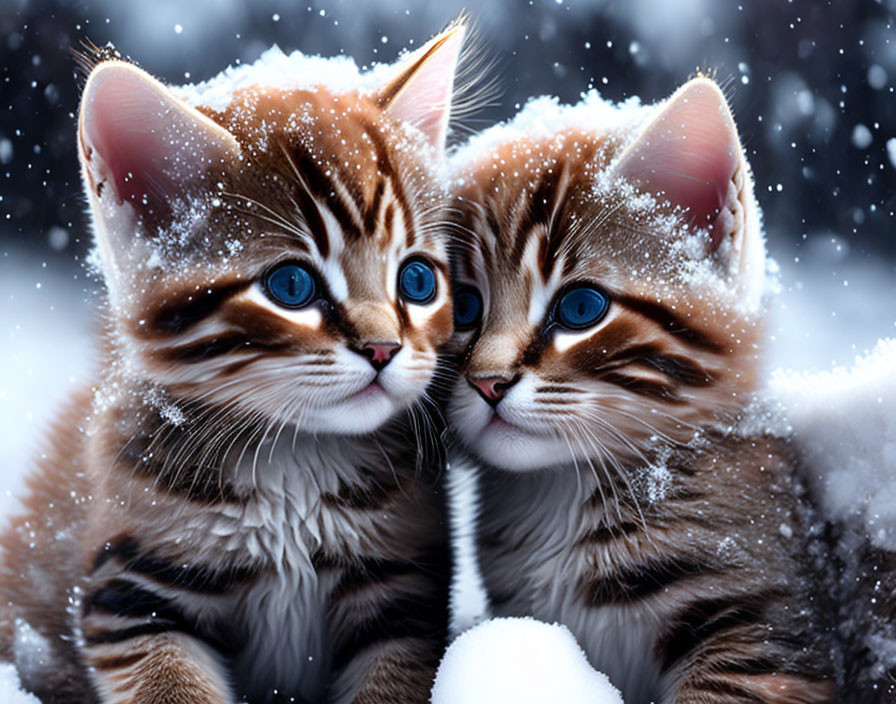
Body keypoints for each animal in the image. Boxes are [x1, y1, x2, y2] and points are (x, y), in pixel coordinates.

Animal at [1, 22, 468, 704]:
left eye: (417, 280)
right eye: (292, 287)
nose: (384, 349)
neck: (295, 465)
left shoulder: (404, 594)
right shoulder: (132, 596)